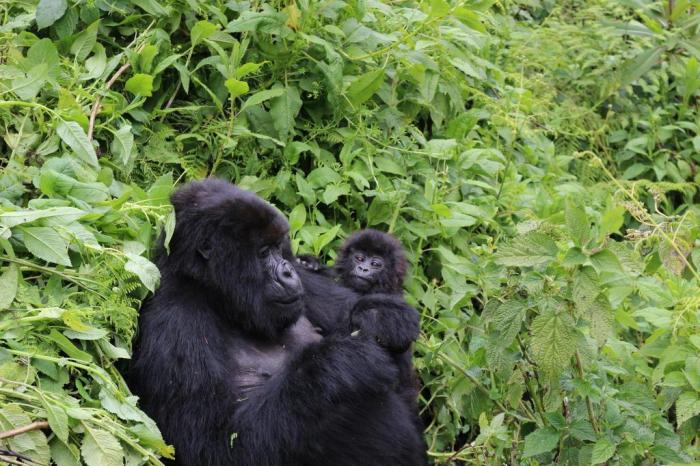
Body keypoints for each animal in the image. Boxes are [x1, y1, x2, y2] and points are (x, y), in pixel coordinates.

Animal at [131, 179, 426, 466]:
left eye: (277, 247)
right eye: (263, 252)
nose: (287, 271)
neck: (216, 296)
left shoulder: (305, 282)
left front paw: (382, 317)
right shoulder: (175, 319)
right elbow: (212, 444)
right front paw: (343, 364)